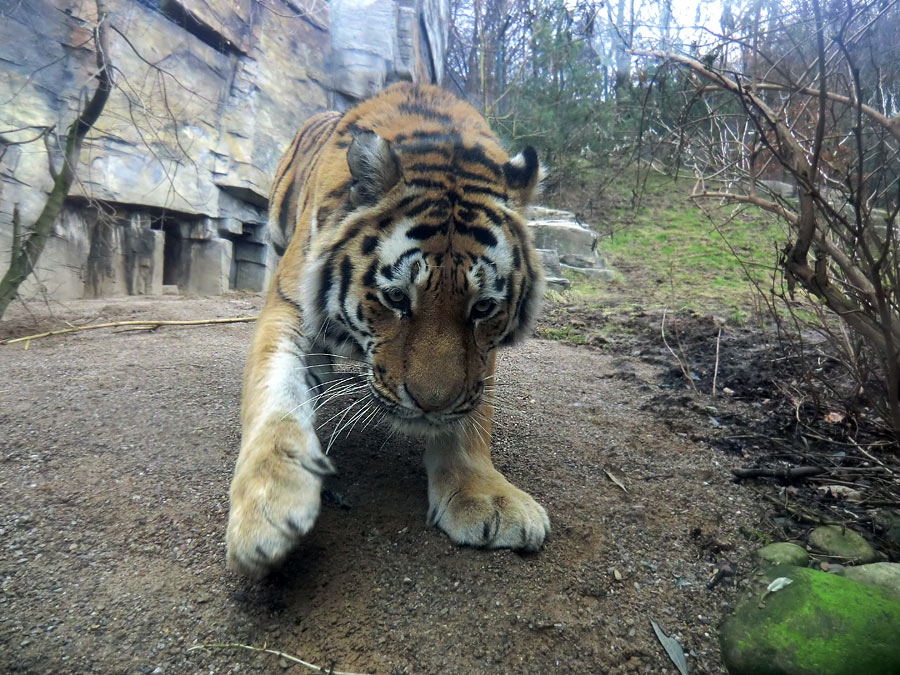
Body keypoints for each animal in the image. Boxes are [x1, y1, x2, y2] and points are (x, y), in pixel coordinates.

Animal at [225, 82, 548, 580]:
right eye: (396, 298)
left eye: (482, 308)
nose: (431, 405)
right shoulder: (289, 307)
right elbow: (274, 392)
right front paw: (267, 505)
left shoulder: (480, 361)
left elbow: (472, 418)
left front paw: (484, 495)